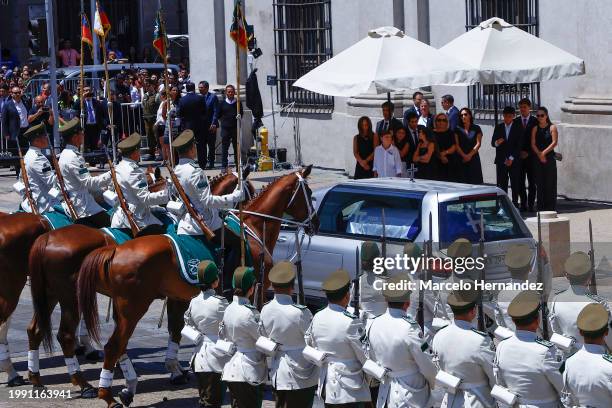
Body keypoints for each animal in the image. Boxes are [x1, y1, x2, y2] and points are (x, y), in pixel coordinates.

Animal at [26, 170, 253, 396]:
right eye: (249, 190)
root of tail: (47, 237)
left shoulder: (177, 295)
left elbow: (176, 328)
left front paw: (175, 369)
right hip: (74, 296)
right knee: (69, 335)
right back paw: (85, 383)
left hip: (53, 293)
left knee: (37, 329)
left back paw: (38, 378)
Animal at [77, 165, 318, 404]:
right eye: (308, 193)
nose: (314, 224)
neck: (252, 227)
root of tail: (115, 249)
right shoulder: (253, 293)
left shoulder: (180, 297)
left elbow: (179, 329)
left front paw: (181, 368)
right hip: (132, 308)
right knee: (113, 345)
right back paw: (108, 392)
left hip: (121, 307)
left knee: (117, 343)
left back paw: (123, 385)